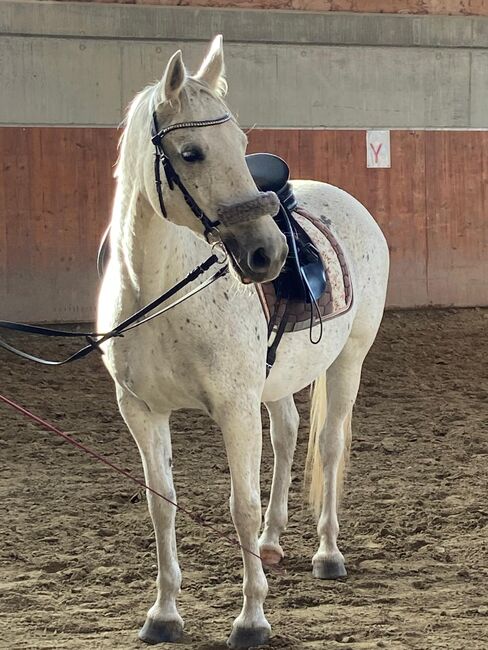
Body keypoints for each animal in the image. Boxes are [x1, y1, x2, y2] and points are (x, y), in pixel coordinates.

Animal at [98, 36, 388, 648]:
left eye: (241, 144)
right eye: (191, 153)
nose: (268, 253)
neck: (159, 292)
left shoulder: (234, 408)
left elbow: (242, 507)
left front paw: (252, 618)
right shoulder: (141, 410)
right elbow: (162, 506)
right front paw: (164, 614)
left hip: (347, 361)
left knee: (329, 445)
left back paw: (327, 553)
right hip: (274, 383)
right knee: (287, 433)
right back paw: (273, 544)